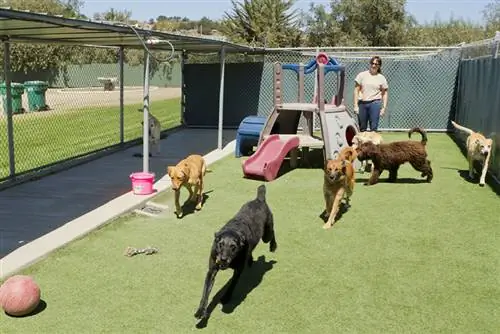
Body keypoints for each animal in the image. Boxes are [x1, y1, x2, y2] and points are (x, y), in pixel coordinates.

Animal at [193, 184, 278, 320]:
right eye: (220, 245)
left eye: (233, 247)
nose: (222, 259)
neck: (233, 229)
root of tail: (259, 199)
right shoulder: (212, 270)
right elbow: (205, 292)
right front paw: (201, 311)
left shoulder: (238, 271)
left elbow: (232, 285)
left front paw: (226, 298)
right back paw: (250, 259)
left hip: (266, 234)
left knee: (272, 233)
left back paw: (273, 246)